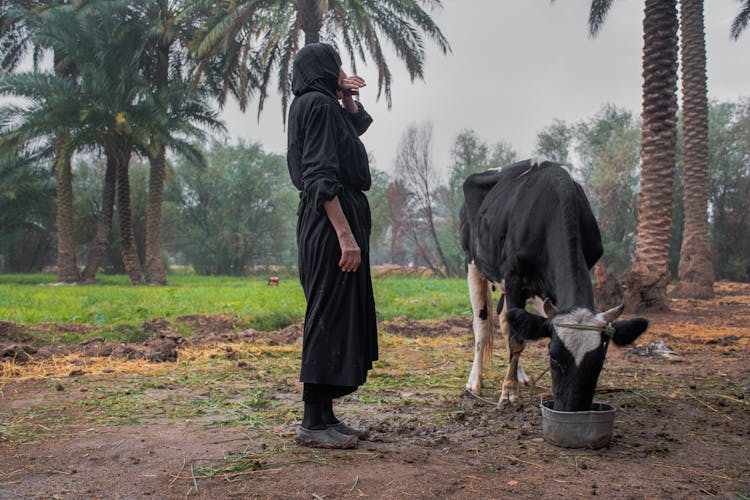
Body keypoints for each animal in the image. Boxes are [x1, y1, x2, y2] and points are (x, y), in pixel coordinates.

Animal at [462, 159, 648, 410]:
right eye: (553, 357)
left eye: (599, 362)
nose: (573, 409)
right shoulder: (513, 278)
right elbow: (517, 340)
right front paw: (509, 393)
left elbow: (520, 330)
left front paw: (514, 383)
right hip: (473, 263)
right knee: (482, 325)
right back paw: (475, 381)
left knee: (505, 320)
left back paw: (520, 376)